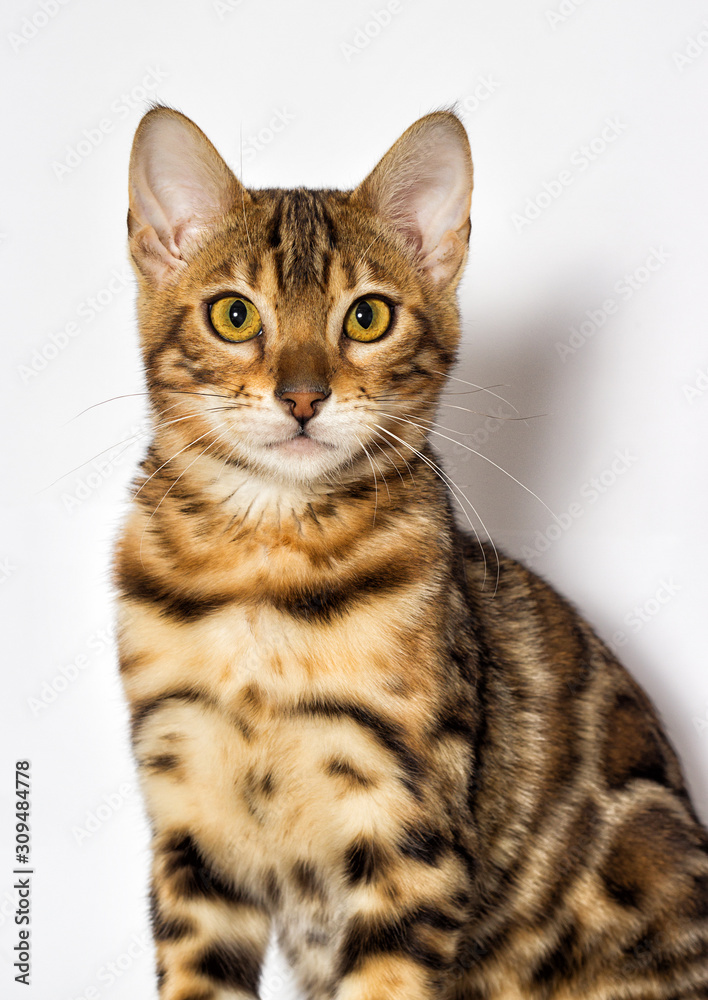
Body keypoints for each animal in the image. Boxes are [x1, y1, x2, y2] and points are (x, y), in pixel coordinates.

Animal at [112, 105, 708, 996]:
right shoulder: (191, 821)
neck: (263, 569)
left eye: (367, 318)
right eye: (234, 315)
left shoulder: (407, 829)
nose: (302, 397)